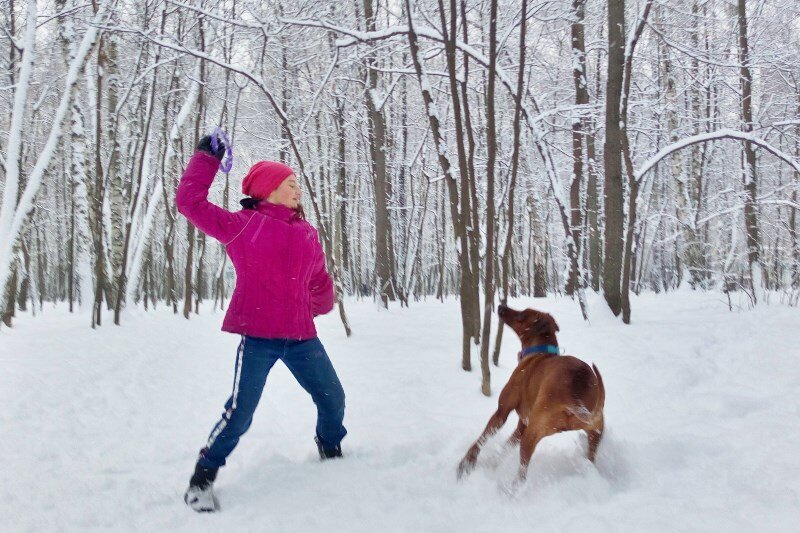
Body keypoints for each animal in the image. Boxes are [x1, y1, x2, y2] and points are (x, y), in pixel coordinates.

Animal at [457, 304, 605, 483]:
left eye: (522, 315)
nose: (501, 305)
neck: (539, 351)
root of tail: (575, 393)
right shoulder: (522, 425)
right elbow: (505, 447)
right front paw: (492, 463)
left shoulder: (502, 413)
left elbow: (482, 439)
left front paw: (467, 463)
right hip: (595, 432)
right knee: (591, 458)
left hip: (532, 434)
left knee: (522, 474)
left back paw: (510, 488)